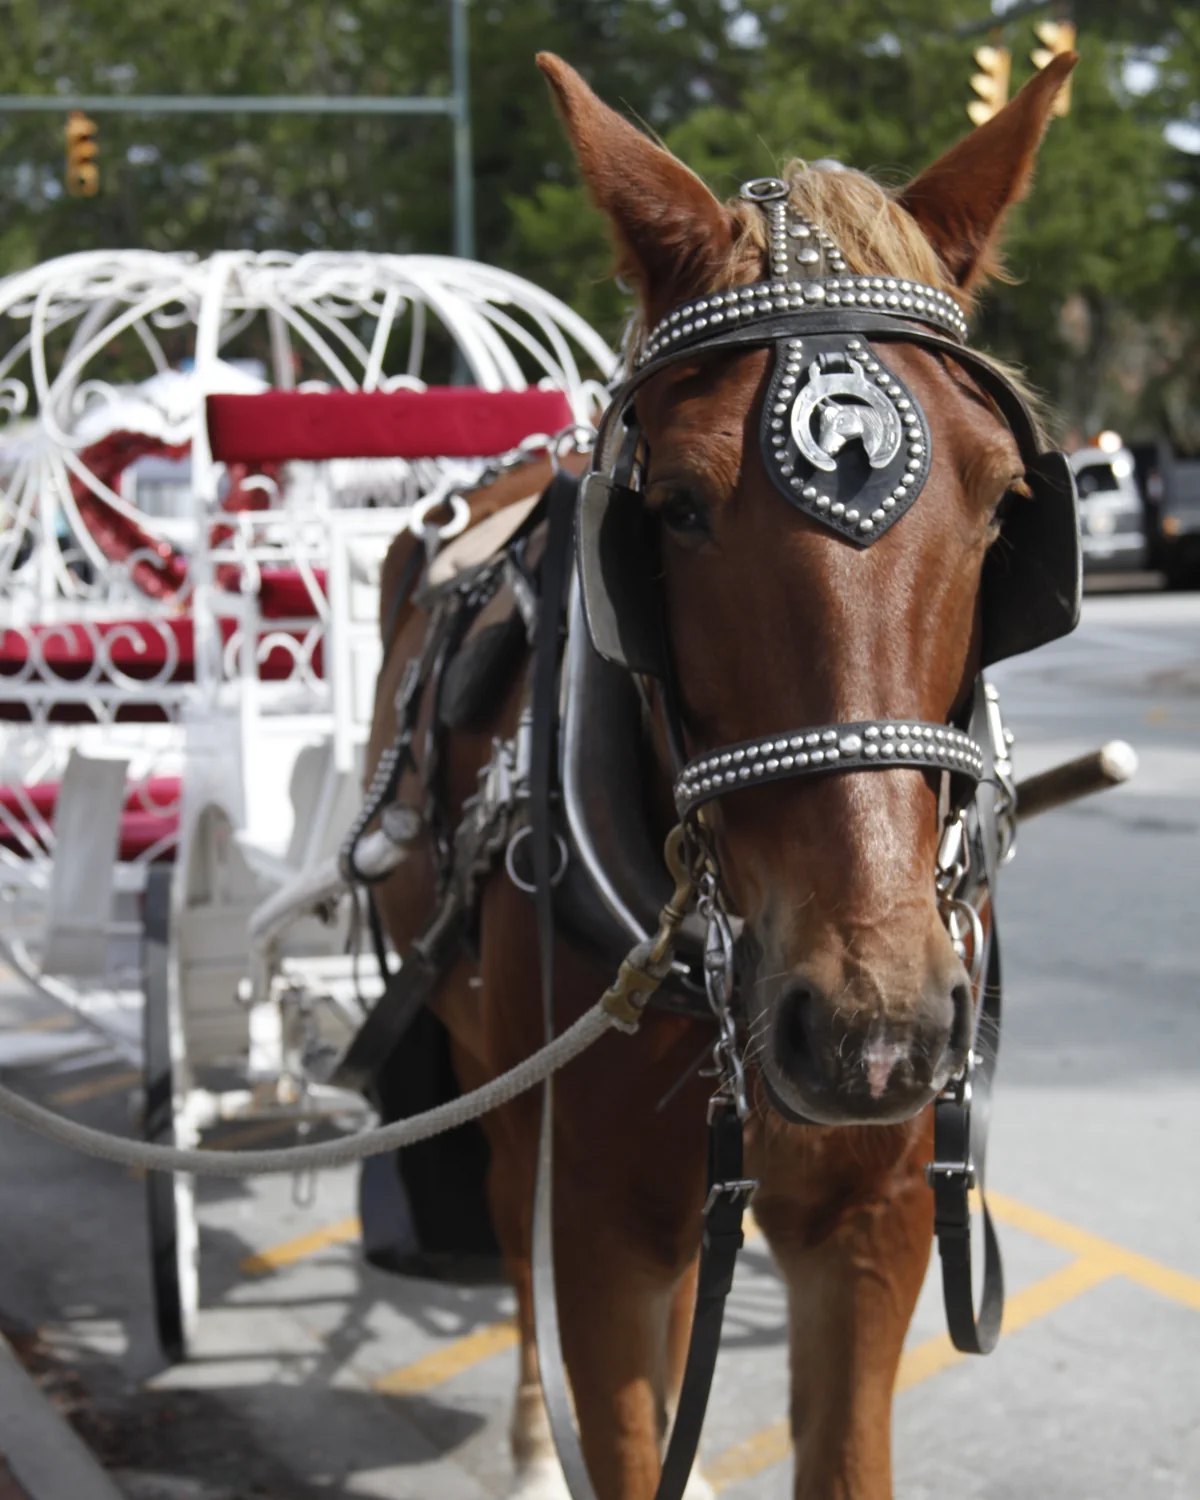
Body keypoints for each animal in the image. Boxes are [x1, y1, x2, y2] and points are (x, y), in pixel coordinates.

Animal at [363, 47, 1078, 1500]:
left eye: (999, 506)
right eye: (677, 507)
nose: (871, 1026)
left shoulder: (871, 1230)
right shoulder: (598, 1235)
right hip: (490, 1081)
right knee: (509, 1234)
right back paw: (528, 1448)